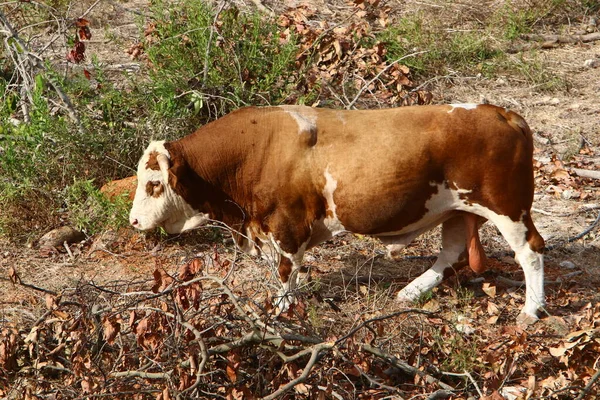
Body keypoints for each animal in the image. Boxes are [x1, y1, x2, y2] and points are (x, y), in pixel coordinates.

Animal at [129, 103, 548, 322]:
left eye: (154, 183)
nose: (133, 221)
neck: (255, 150)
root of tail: (502, 113)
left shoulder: (288, 225)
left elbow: (287, 270)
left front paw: (282, 305)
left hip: (507, 207)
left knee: (530, 251)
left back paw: (531, 309)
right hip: (457, 209)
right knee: (452, 251)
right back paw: (412, 291)